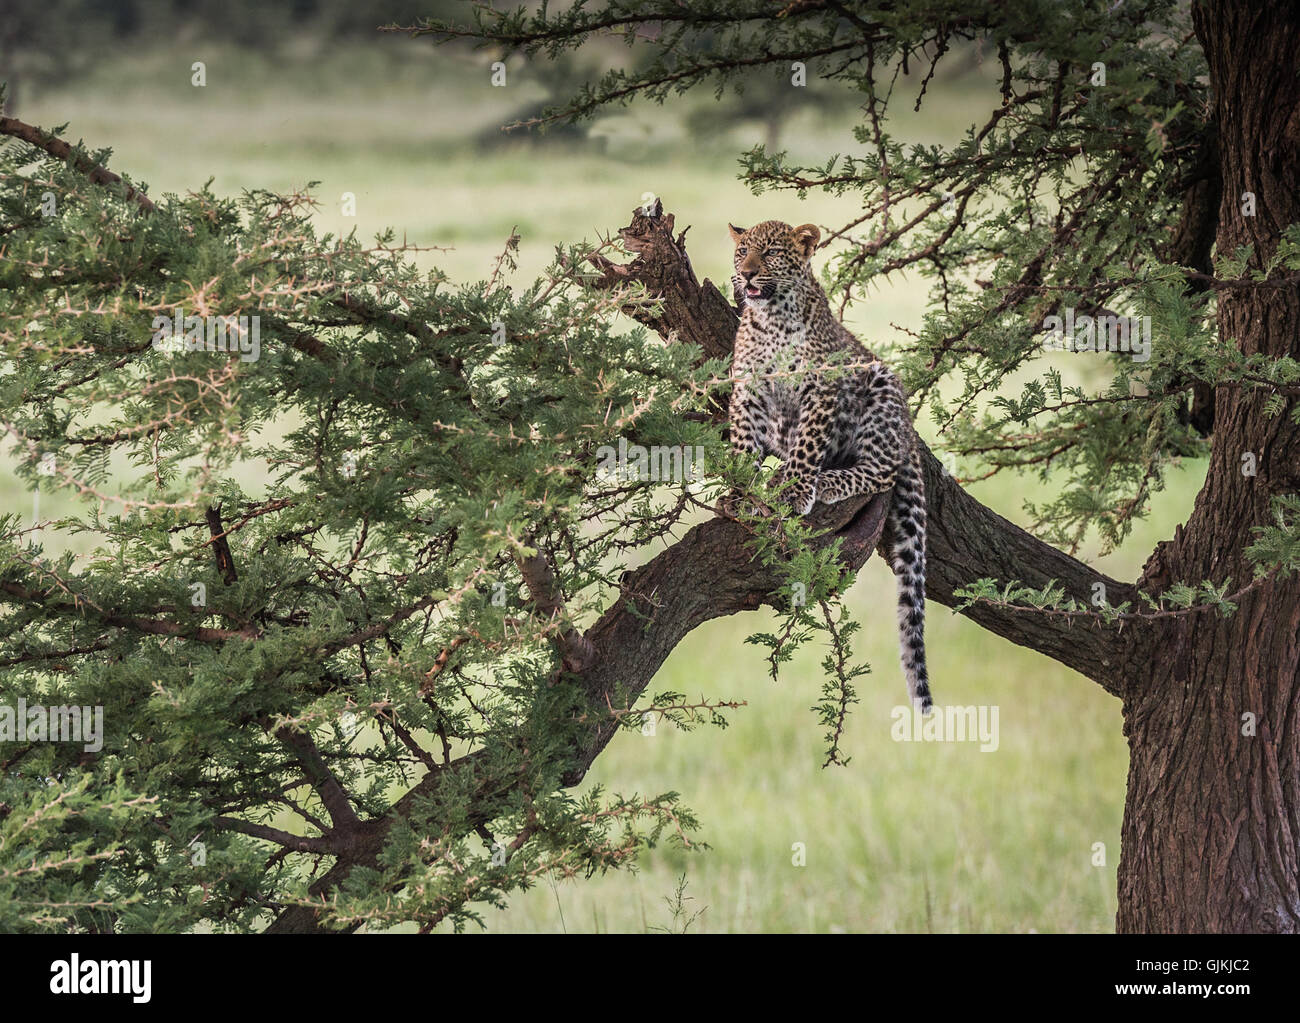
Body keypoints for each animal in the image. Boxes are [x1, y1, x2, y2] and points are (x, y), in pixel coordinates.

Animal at [723, 219, 932, 714]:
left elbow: (807, 446)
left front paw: (798, 490)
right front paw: (741, 494)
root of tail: (910, 429)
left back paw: (826, 481)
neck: (773, 318)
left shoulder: (820, 389)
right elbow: (741, 447)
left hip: (880, 388)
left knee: (880, 471)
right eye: (742, 251)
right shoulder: (748, 391)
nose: (746, 272)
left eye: (771, 252)